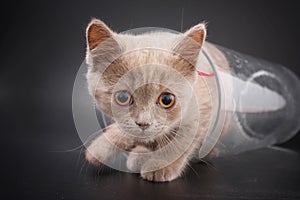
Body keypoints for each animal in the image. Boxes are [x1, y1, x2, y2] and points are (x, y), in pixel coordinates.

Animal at [84, 18, 227, 181]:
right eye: (122, 97)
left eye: (166, 99)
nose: (143, 123)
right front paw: (100, 147)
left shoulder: (203, 109)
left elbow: (181, 141)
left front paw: (161, 164)